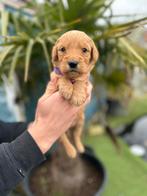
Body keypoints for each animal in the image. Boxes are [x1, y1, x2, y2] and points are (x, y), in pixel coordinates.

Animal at [46, 30, 99, 158]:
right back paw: (71, 151)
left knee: (76, 135)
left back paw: (80, 147)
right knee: (64, 139)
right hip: (59, 129)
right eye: (62, 49)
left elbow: (81, 80)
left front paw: (77, 96)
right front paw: (66, 88)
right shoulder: (54, 77)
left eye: (84, 50)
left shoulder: (85, 79)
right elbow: (61, 76)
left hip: (80, 122)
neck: (72, 78)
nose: (73, 63)